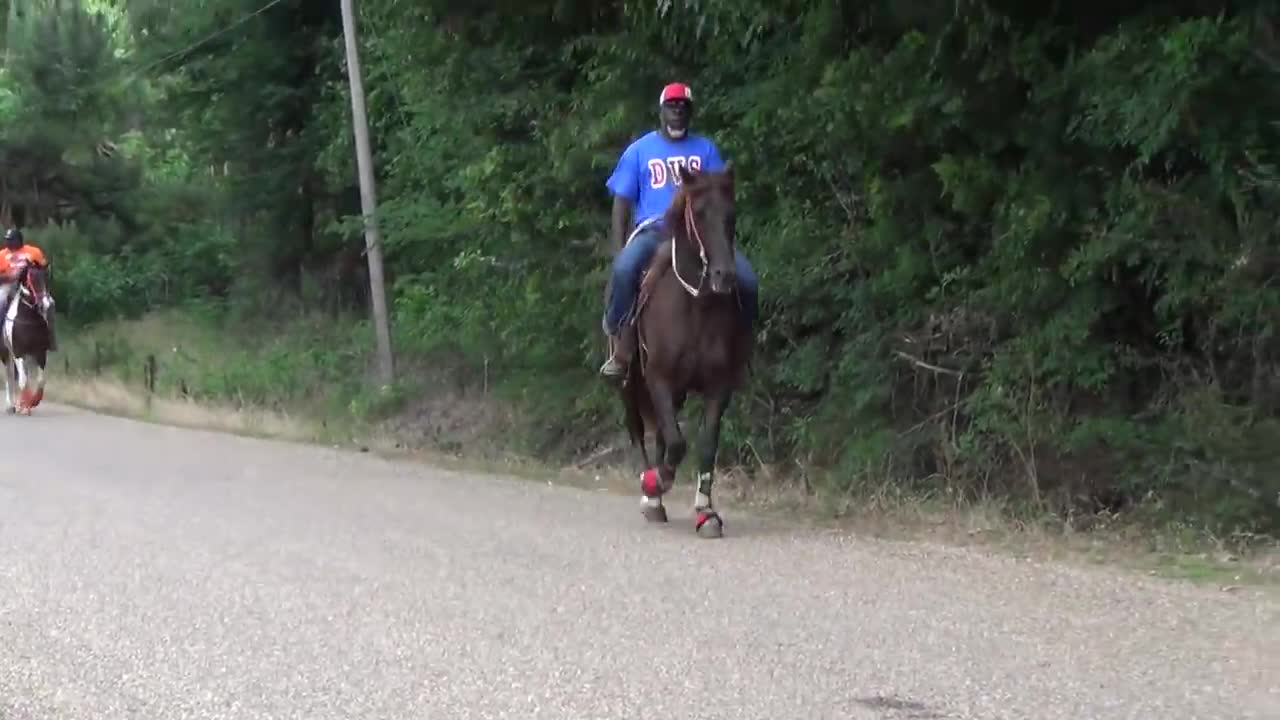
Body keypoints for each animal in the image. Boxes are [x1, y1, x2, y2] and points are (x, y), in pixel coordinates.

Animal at [1, 260, 51, 412]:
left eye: (46, 277)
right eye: (32, 279)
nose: (45, 304)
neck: (27, 319)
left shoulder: (40, 352)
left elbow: (40, 380)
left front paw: (33, 401)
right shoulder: (18, 353)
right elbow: (22, 380)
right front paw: (23, 404)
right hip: (6, 353)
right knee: (9, 375)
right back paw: (11, 405)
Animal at [616, 161, 752, 532]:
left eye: (732, 213)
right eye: (700, 213)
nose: (724, 276)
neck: (697, 305)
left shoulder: (719, 385)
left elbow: (705, 445)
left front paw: (706, 513)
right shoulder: (658, 377)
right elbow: (677, 443)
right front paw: (655, 483)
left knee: (663, 434)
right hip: (630, 384)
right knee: (641, 432)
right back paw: (650, 493)